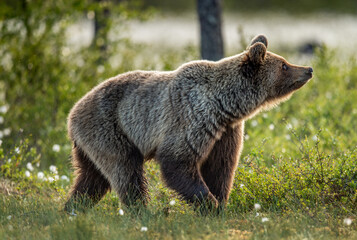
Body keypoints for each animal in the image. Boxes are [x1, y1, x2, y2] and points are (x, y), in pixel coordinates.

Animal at [64, 34, 312, 212]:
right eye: (284, 65)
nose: (308, 69)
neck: (225, 105)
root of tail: (72, 113)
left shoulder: (225, 132)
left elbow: (221, 168)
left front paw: (220, 202)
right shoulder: (191, 119)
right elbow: (177, 162)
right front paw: (210, 205)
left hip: (91, 144)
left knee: (92, 179)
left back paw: (72, 209)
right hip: (109, 129)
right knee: (125, 172)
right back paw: (142, 212)